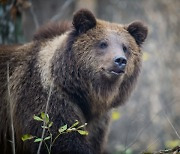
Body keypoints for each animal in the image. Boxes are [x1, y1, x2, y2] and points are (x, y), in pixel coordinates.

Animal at [0, 9, 148, 153]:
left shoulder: (97, 123)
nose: (120, 60)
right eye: (103, 44)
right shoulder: (48, 102)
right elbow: (64, 140)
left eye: (125, 47)